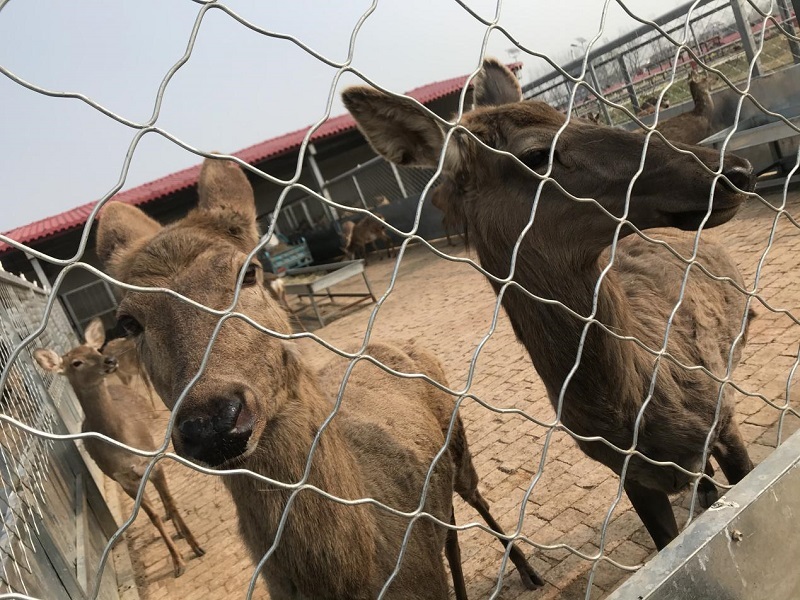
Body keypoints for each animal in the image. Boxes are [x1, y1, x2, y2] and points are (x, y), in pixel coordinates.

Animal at [34, 318, 205, 576]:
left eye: (95, 350)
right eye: (76, 362)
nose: (109, 361)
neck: (123, 442)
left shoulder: (152, 463)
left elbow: (172, 503)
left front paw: (196, 546)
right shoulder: (123, 479)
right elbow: (152, 516)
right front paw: (177, 561)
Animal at [94, 157, 544, 596]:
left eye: (249, 272)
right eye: (129, 321)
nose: (213, 422)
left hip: (458, 437)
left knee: (475, 497)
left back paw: (528, 571)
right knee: (449, 530)